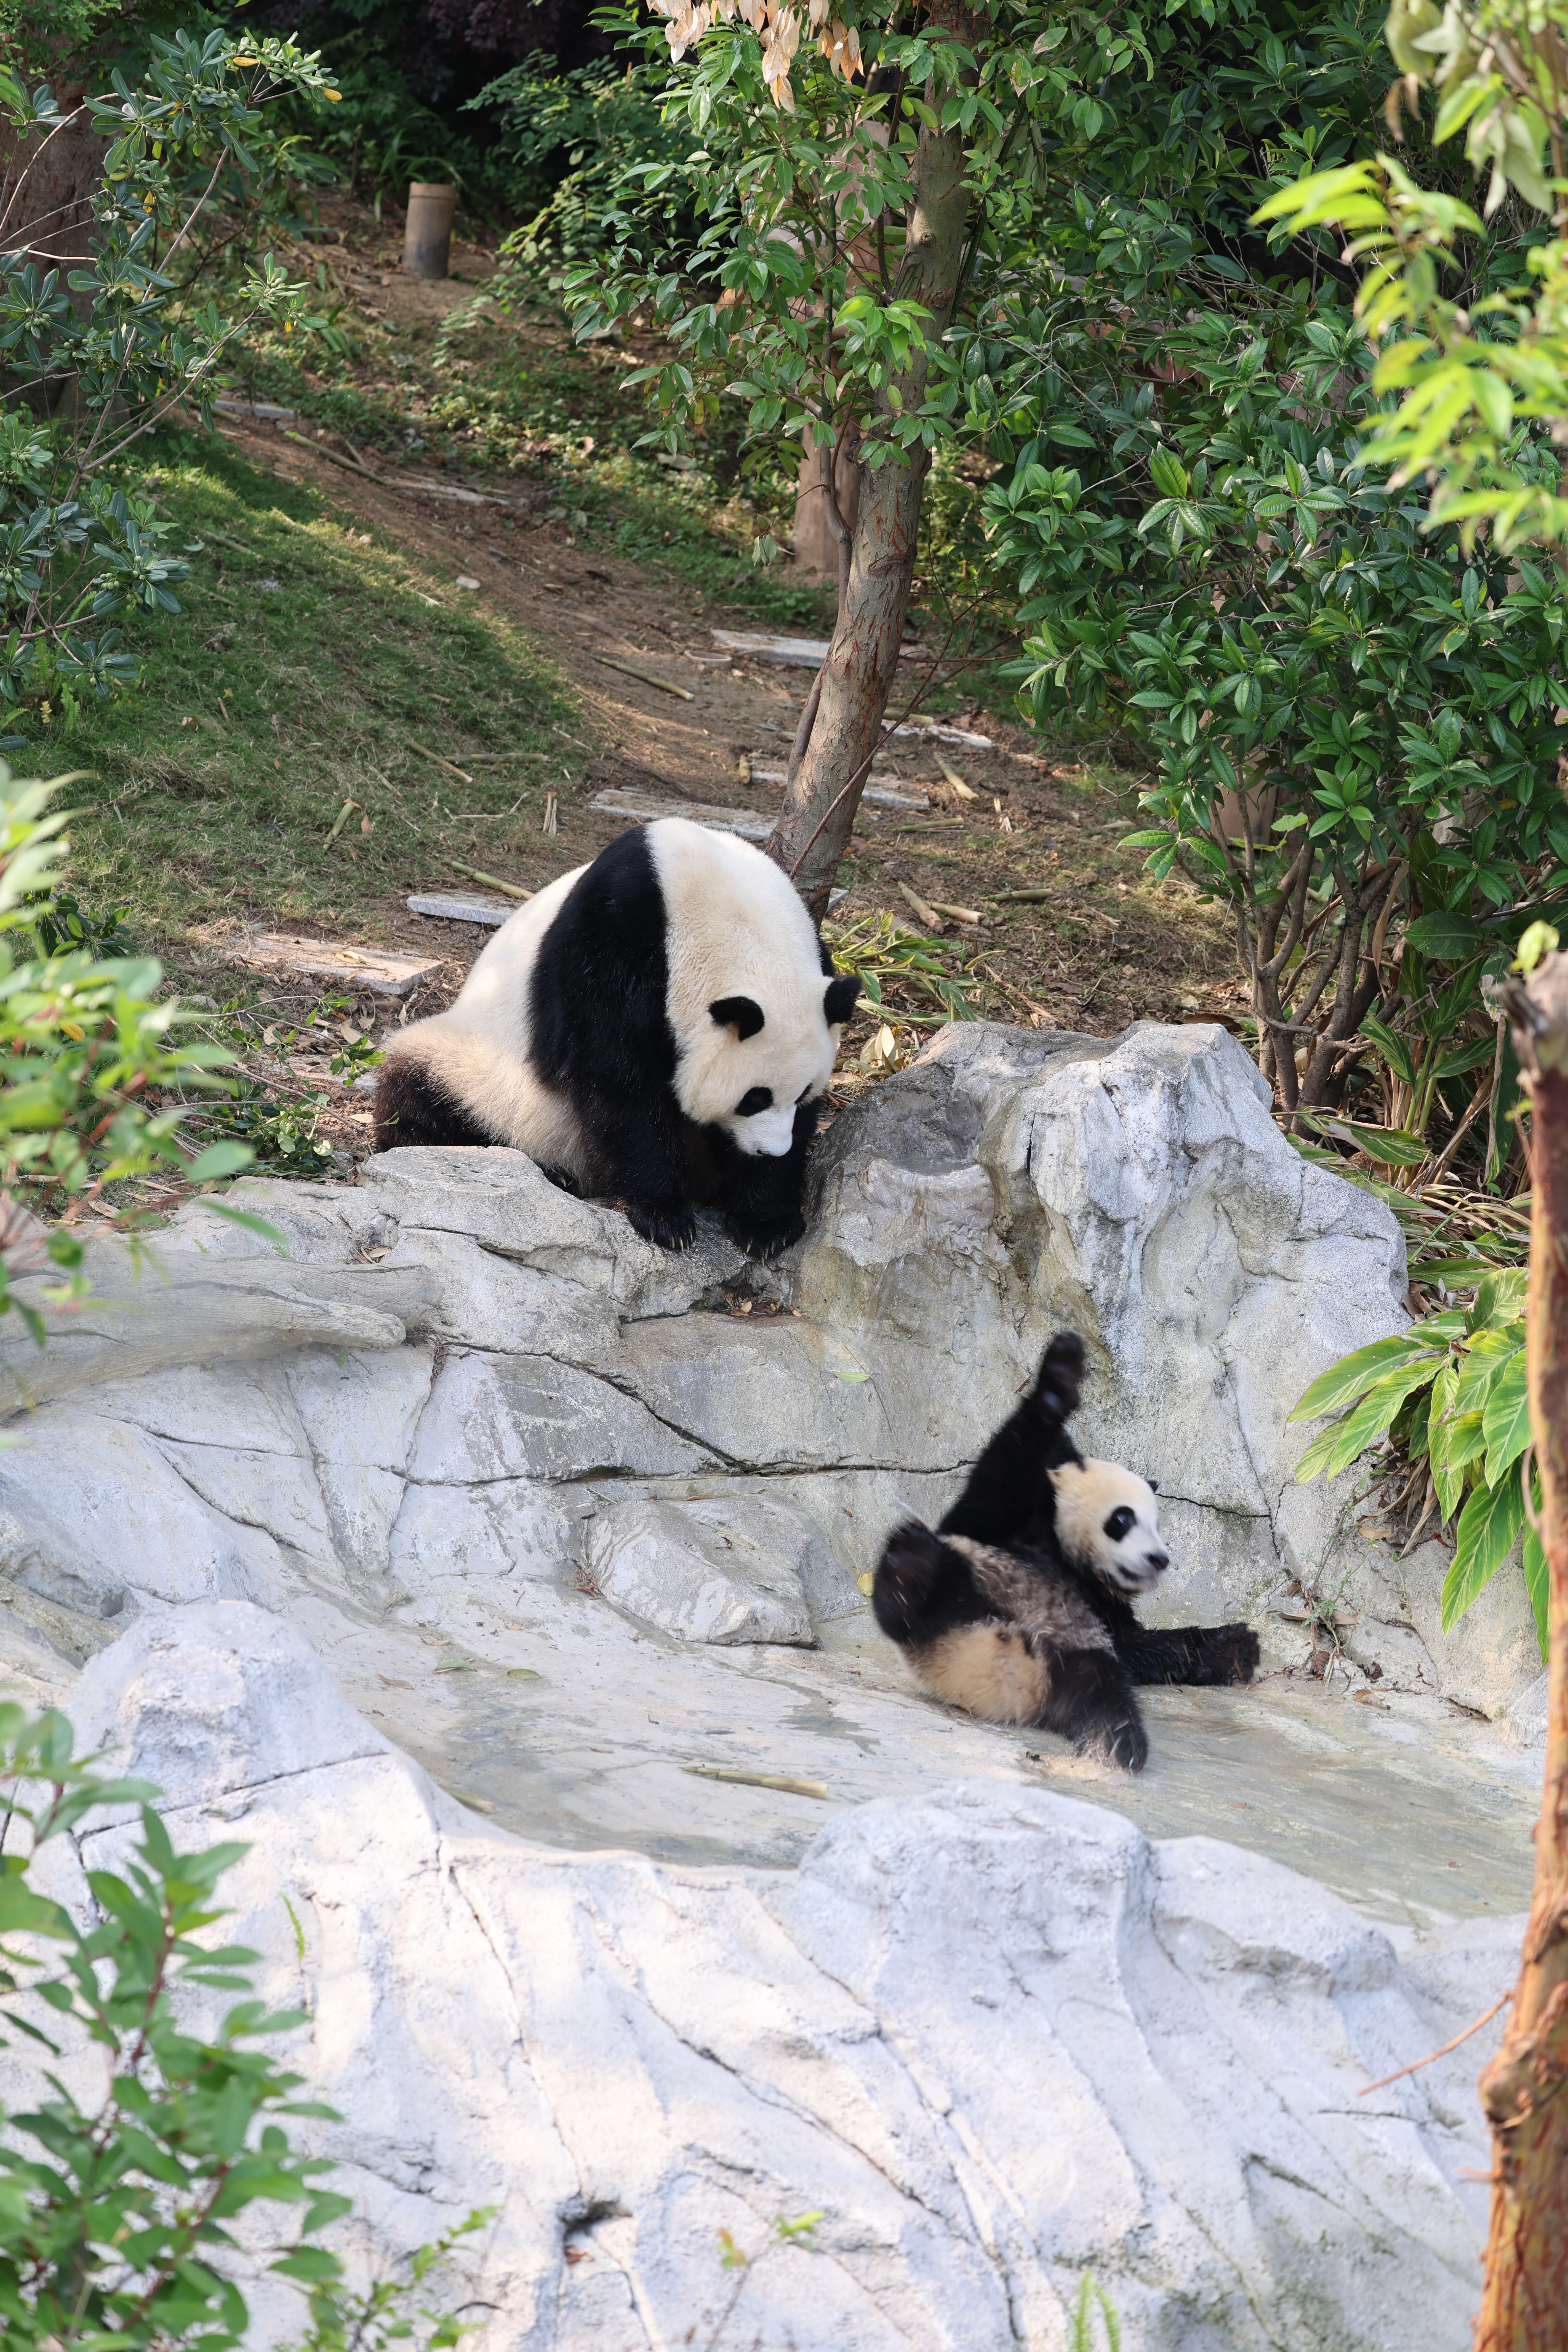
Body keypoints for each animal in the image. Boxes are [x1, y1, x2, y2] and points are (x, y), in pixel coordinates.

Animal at [373, 817, 860, 1258]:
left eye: (801, 1093)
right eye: (753, 1099)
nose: (769, 1150)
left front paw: (766, 1224)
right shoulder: (612, 938)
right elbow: (617, 1078)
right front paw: (664, 1217)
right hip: (481, 1067)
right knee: (420, 1095)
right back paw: (546, 1171)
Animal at [872, 1332, 1260, 1771]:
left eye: (1157, 1525)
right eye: (1123, 1520)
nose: (1158, 1560)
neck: (1064, 1554)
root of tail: (998, 1678)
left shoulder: (1100, 1607)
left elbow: (1137, 1645)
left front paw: (1237, 1648)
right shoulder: (996, 1525)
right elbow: (1003, 1470)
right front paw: (1059, 1378)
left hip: (1077, 1659)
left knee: (1101, 1696)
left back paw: (1119, 1744)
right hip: (960, 1595)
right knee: (914, 1601)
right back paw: (909, 1565)